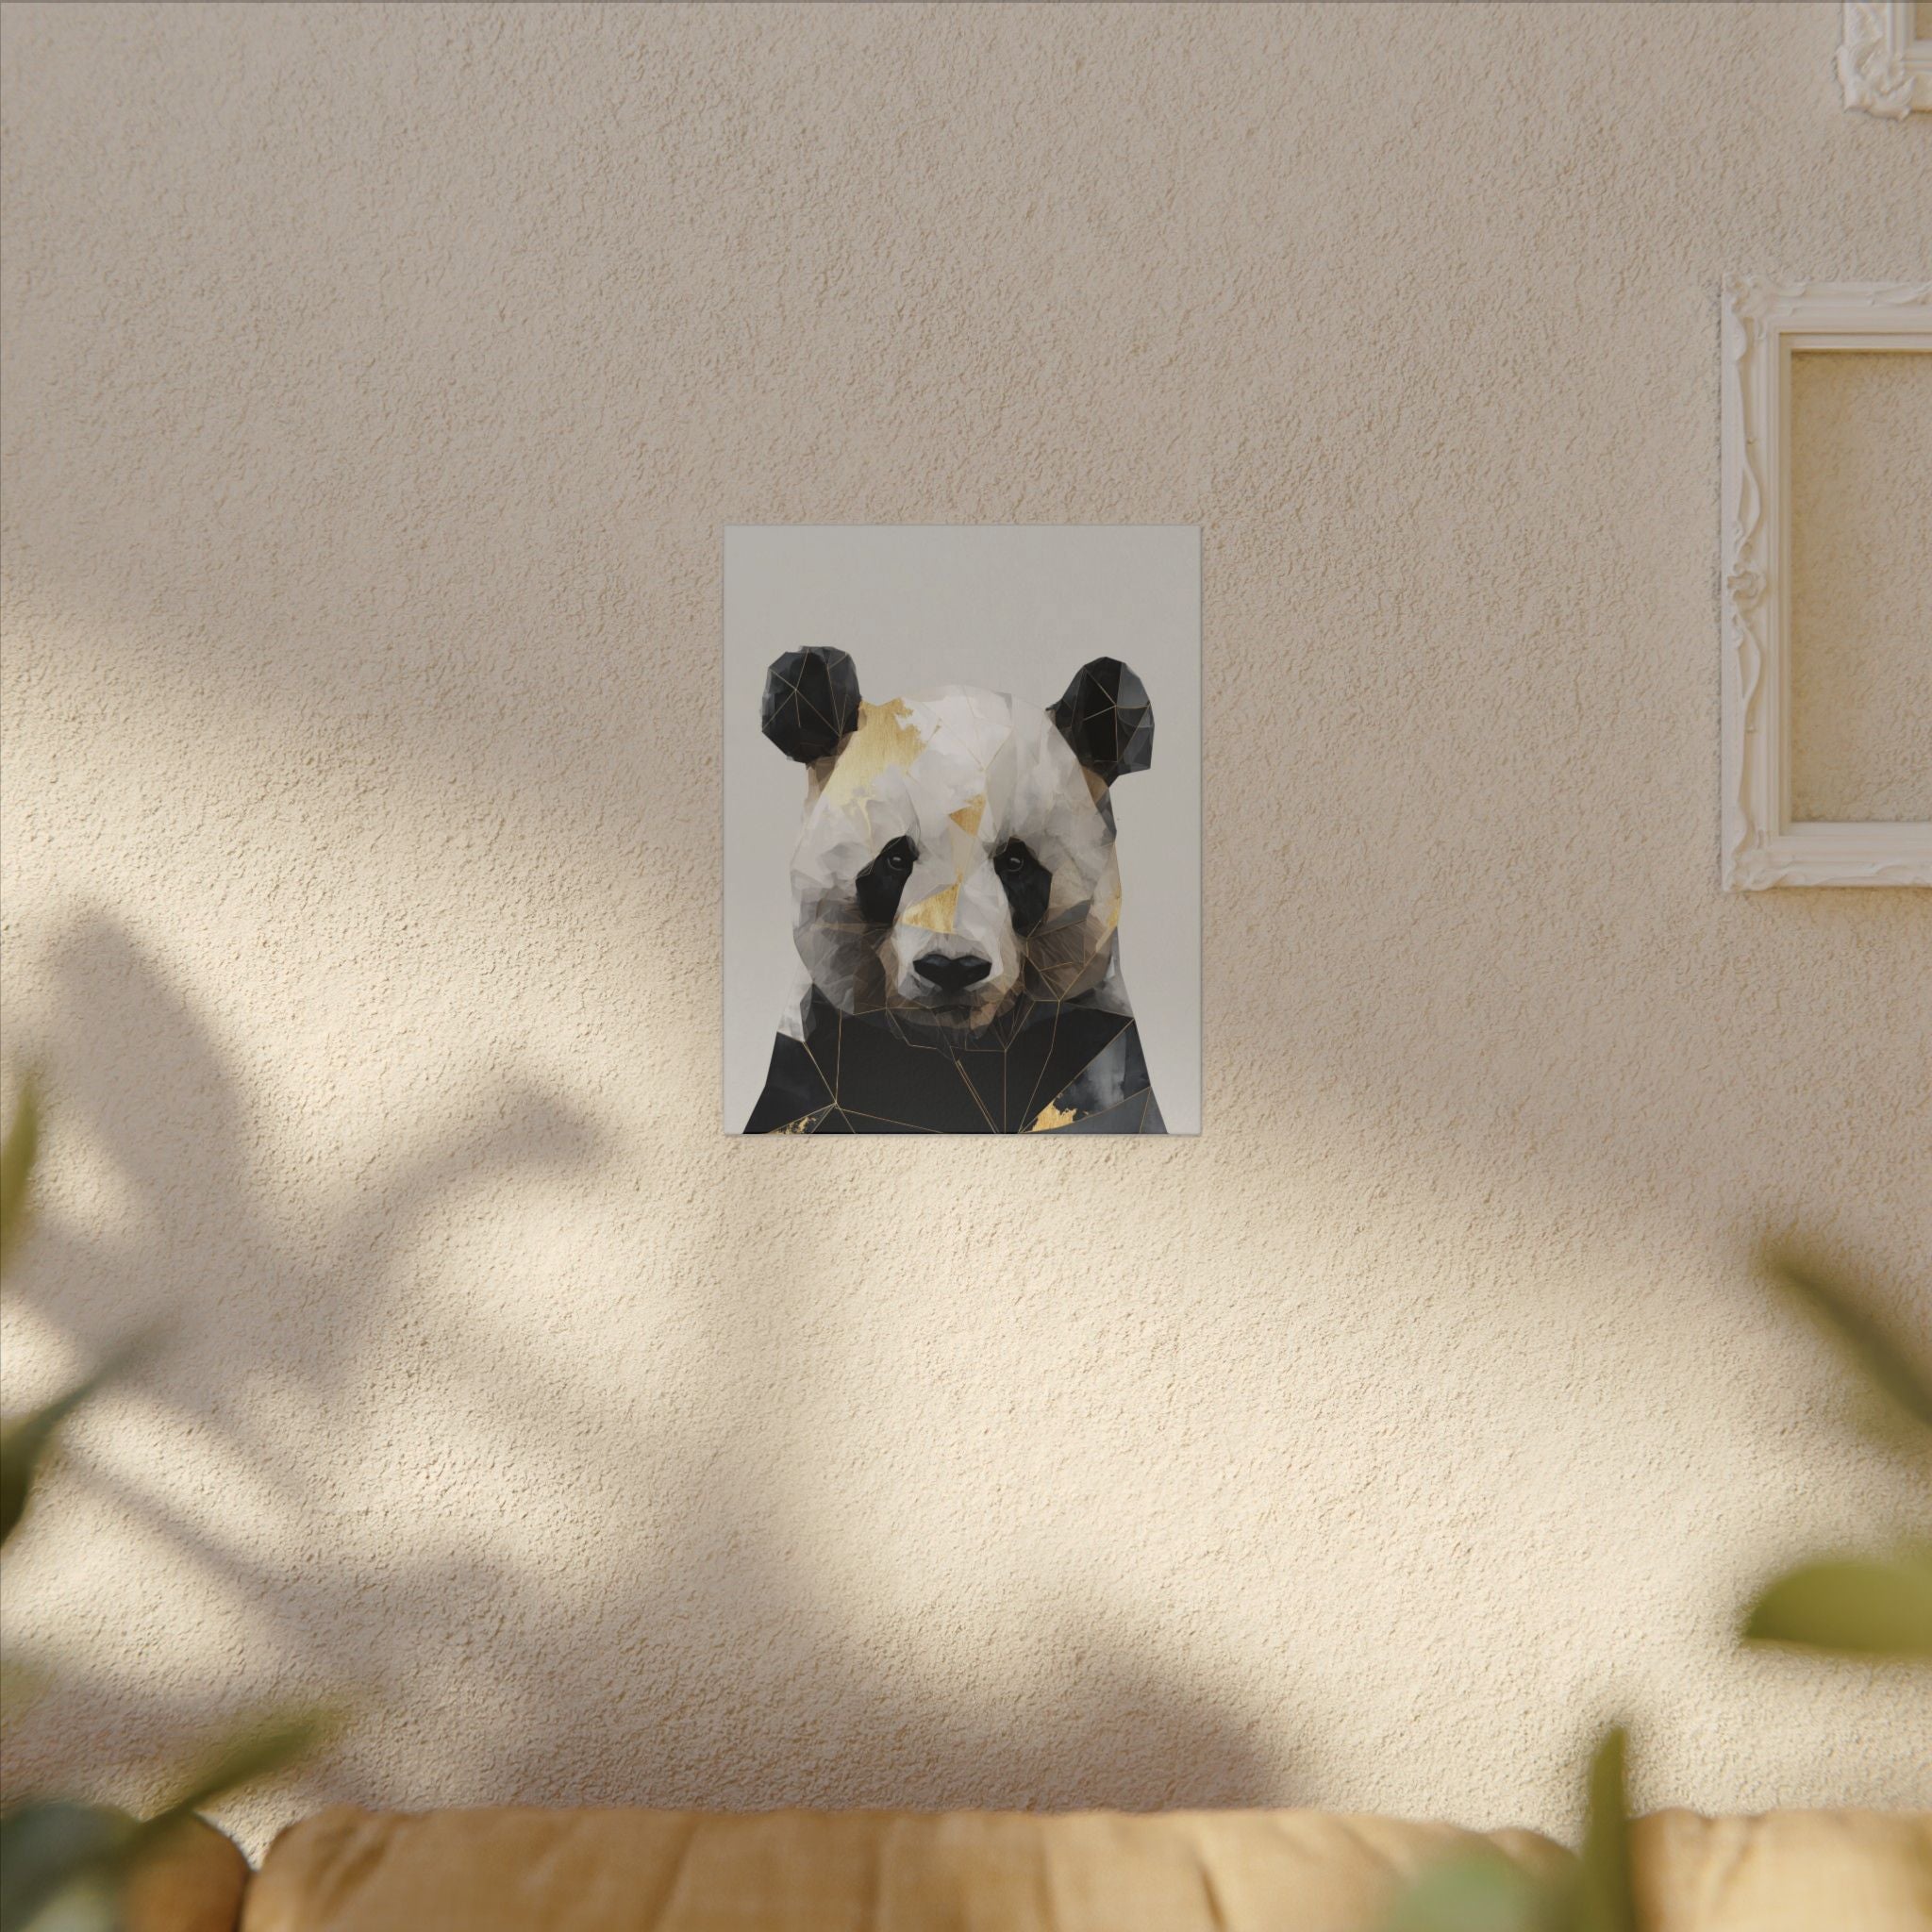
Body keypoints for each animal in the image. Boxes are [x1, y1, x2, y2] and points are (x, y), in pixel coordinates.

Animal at [743, 646, 1165, 1135]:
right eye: (895, 859)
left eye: (1015, 862)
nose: (951, 968)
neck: (960, 1049)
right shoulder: (817, 1063)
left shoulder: (1090, 1050)